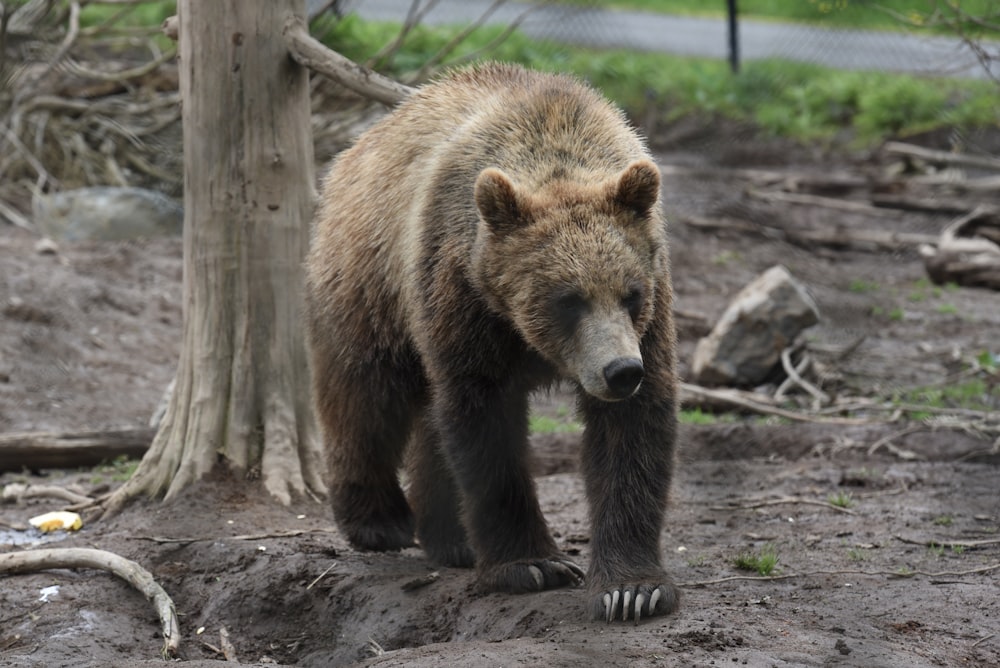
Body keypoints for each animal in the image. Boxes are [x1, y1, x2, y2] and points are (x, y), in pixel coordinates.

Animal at [304, 61, 680, 620]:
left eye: (631, 294)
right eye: (567, 299)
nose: (619, 371)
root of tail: (356, 147)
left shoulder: (649, 321)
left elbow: (630, 433)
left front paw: (632, 589)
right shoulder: (465, 297)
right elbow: (485, 426)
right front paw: (533, 563)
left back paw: (449, 536)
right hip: (371, 282)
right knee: (367, 393)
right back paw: (379, 520)